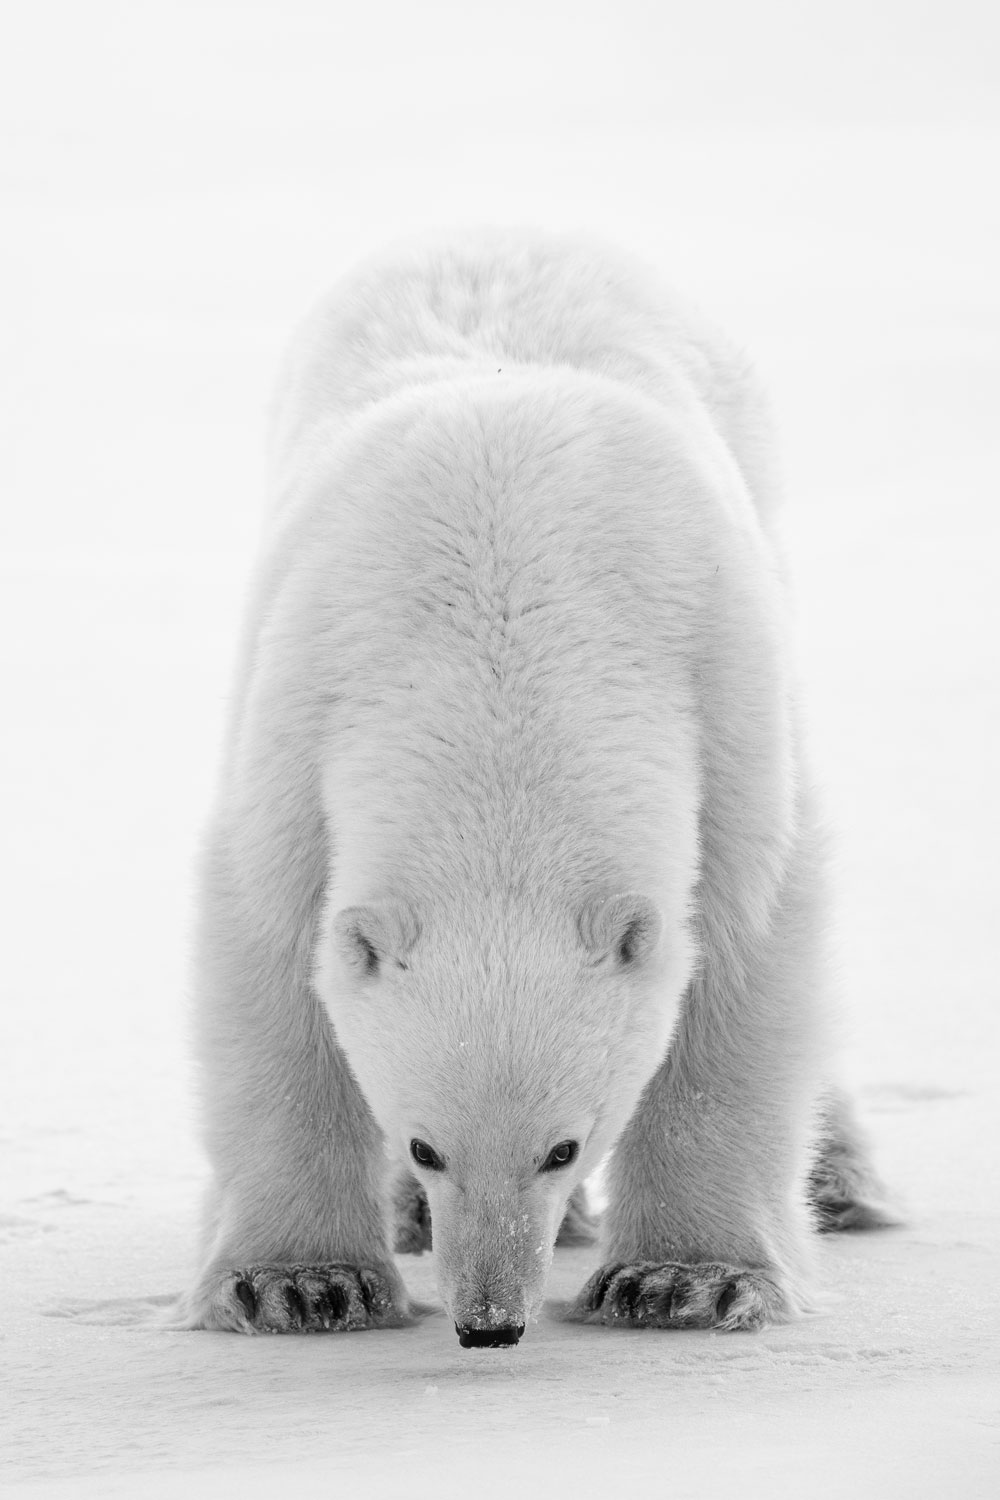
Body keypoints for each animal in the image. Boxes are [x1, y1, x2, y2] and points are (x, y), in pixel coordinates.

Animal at [177, 232, 895, 1346]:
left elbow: (748, 947)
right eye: (424, 1143)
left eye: (565, 1145)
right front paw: (300, 1284)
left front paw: (684, 1280)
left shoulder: (720, 692)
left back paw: (842, 1181)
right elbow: (268, 955)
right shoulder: (300, 703)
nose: (488, 1321)